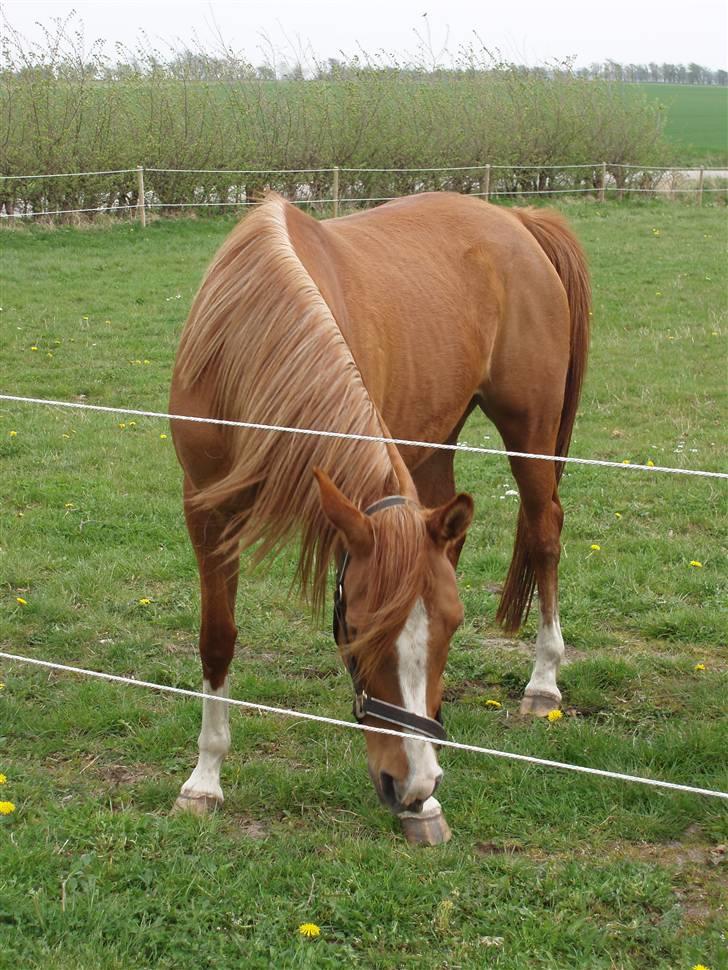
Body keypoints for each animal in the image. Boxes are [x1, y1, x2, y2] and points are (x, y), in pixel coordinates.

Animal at [168, 191, 588, 824]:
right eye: (359, 628)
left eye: (454, 623)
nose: (415, 785)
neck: (251, 343)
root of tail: (517, 219)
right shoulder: (206, 508)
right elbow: (217, 637)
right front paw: (204, 780)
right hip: (435, 440)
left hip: (529, 429)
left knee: (544, 533)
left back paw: (543, 684)